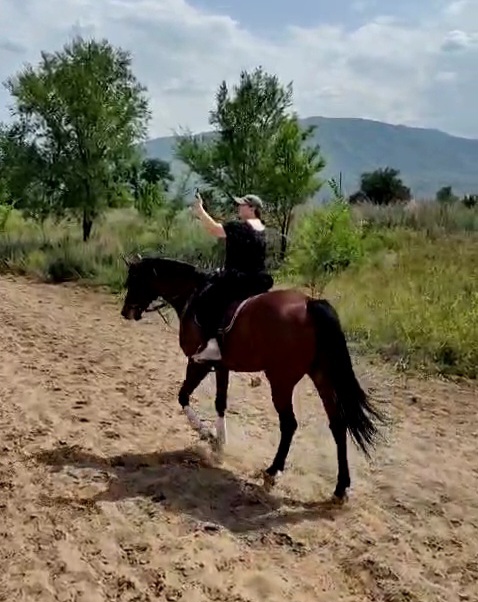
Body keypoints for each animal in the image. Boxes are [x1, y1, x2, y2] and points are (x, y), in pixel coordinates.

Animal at [120, 254, 386, 501]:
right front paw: (219, 443)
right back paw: (340, 488)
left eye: (135, 280)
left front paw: (206, 434)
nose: (126, 312)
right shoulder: (221, 366)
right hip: (322, 377)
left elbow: (183, 396)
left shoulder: (198, 363)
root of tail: (311, 305)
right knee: (338, 424)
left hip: (281, 380)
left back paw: (273, 471)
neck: (193, 295)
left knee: (289, 424)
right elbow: (220, 402)